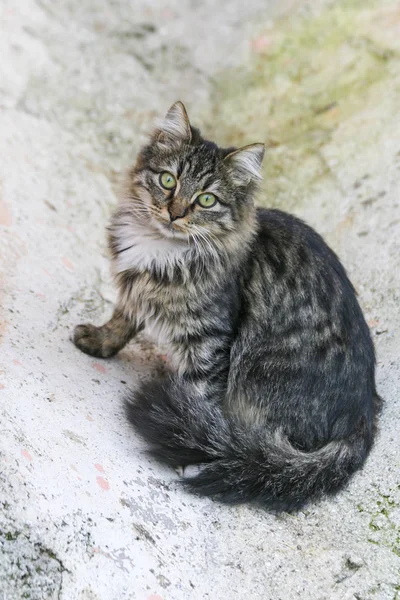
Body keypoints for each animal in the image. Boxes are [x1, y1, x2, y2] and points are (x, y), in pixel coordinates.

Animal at [72, 99, 382, 510]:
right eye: (168, 181)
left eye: (206, 200)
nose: (175, 213)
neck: (161, 250)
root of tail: (365, 415)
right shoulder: (136, 292)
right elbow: (122, 320)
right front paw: (99, 340)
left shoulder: (209, 340)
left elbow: (198, 396)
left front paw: (192, 441)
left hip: (258, 373)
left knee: (256, 442)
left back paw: (224, 453)